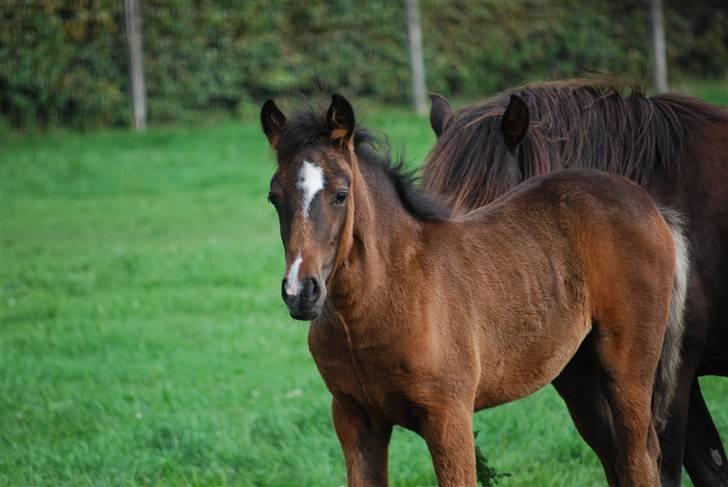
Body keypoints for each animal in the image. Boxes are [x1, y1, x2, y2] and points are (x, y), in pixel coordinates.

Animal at [260, 93, 688, 486]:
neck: (378, 303)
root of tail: (649, 204)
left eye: (340, 194)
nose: (300, 292)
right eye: (273, 197)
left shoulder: (448, 417)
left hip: (628, 369)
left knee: (638, 455)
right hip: (580, 373)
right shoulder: (354, 419)